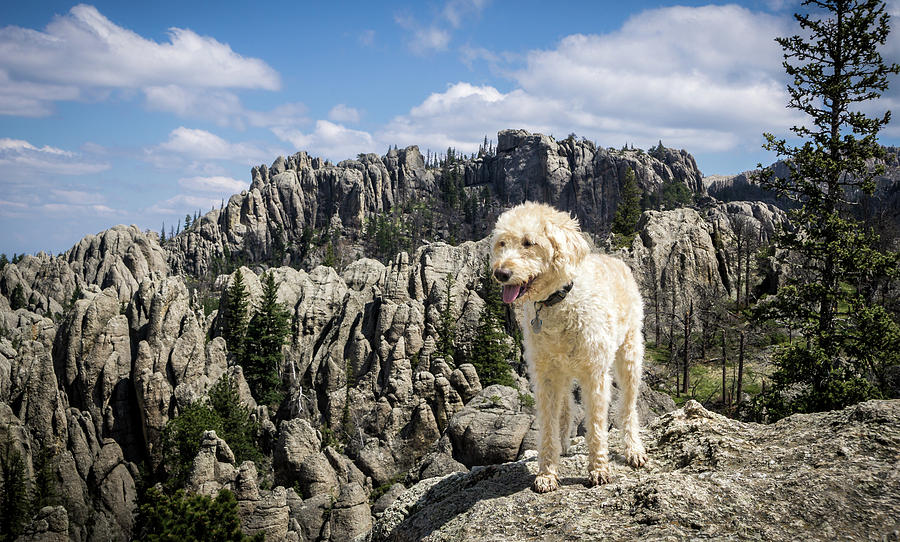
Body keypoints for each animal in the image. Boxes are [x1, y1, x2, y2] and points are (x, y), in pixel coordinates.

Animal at [492, 203, 648, 492]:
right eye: (502, 243)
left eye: (529, 243)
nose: (501, 273)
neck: (557, 302)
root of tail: (616, 261)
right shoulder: (545, 376)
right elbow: (548, 426)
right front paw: (546, 473)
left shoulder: (595, 374)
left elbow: (596, 425)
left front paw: (599, 469)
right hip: (563, 373)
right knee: (565, 408)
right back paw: (564, 444)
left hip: (630, 354)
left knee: (628, 408)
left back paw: (633, 449)